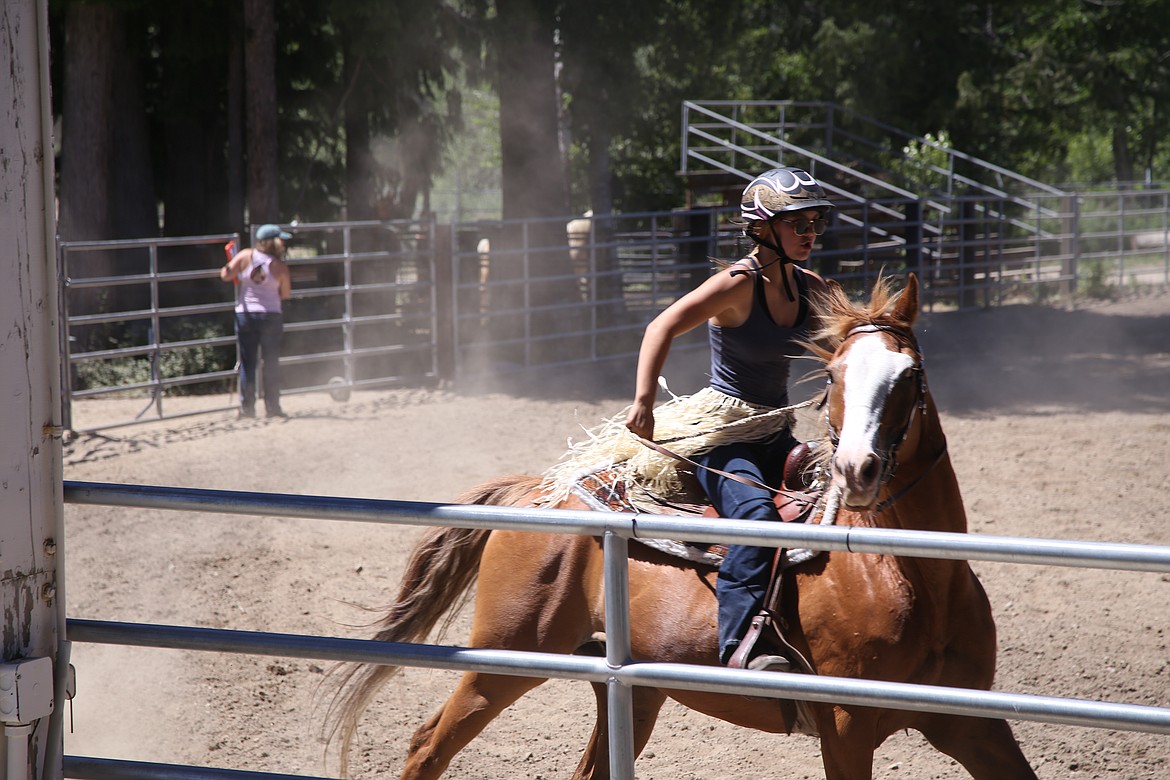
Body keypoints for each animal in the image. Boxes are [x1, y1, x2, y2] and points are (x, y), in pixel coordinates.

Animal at [327, 274, 1034, 780]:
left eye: (909, 375)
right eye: (834, 375)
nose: (856, 468)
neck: (904, 573)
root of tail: (538, 489)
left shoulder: (973, 723)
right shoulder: (846, 729)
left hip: (625, 688)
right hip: (503, 658)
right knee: (427, 746)